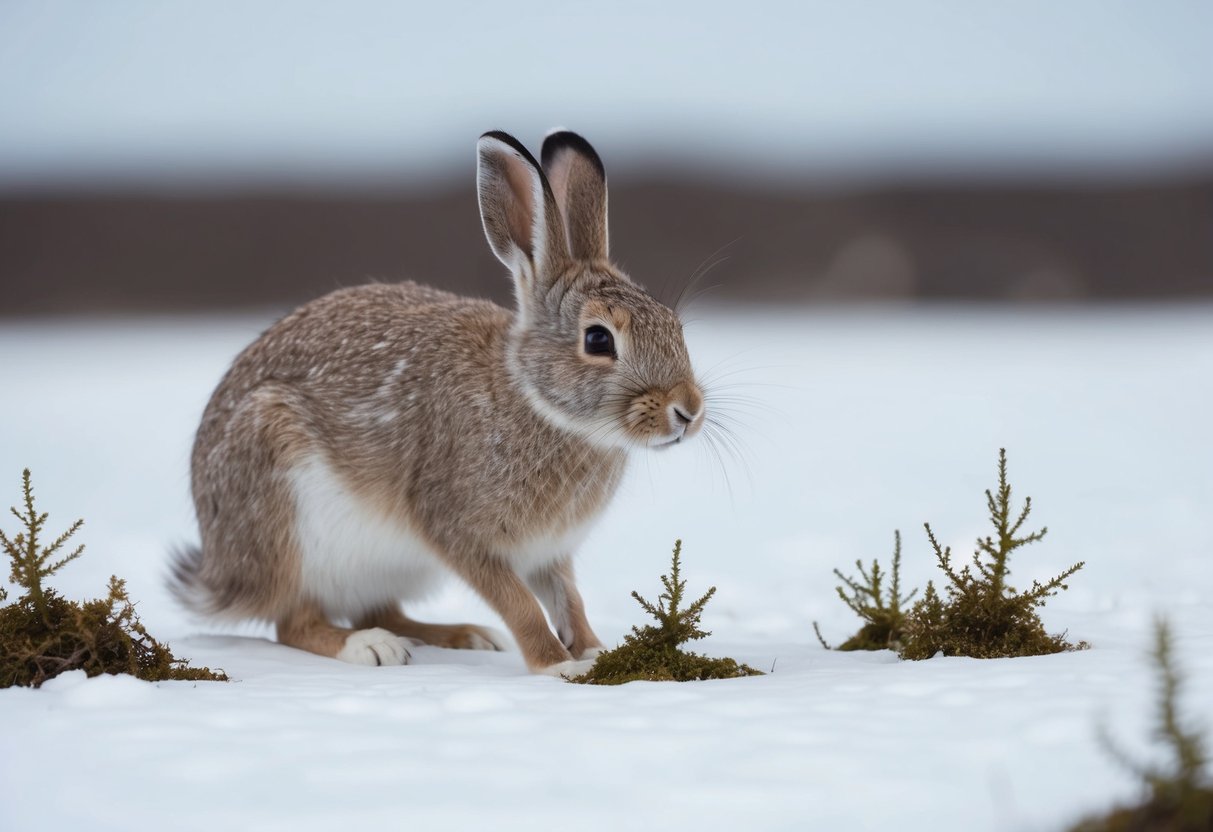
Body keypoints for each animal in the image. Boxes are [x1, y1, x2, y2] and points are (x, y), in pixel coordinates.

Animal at [170, 130, 706, 676]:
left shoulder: (550, 554)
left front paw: (597, 653)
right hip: (290, 516)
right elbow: (520, 604)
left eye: (673, 325)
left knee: (378, 608)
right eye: (598, 340)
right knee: (294, 622)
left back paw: (462, 635)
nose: (688, 410)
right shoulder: (459, 531)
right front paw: (558, 666)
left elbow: (568, 600)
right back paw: (372, 647)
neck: (534, 399)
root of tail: (222, 573)